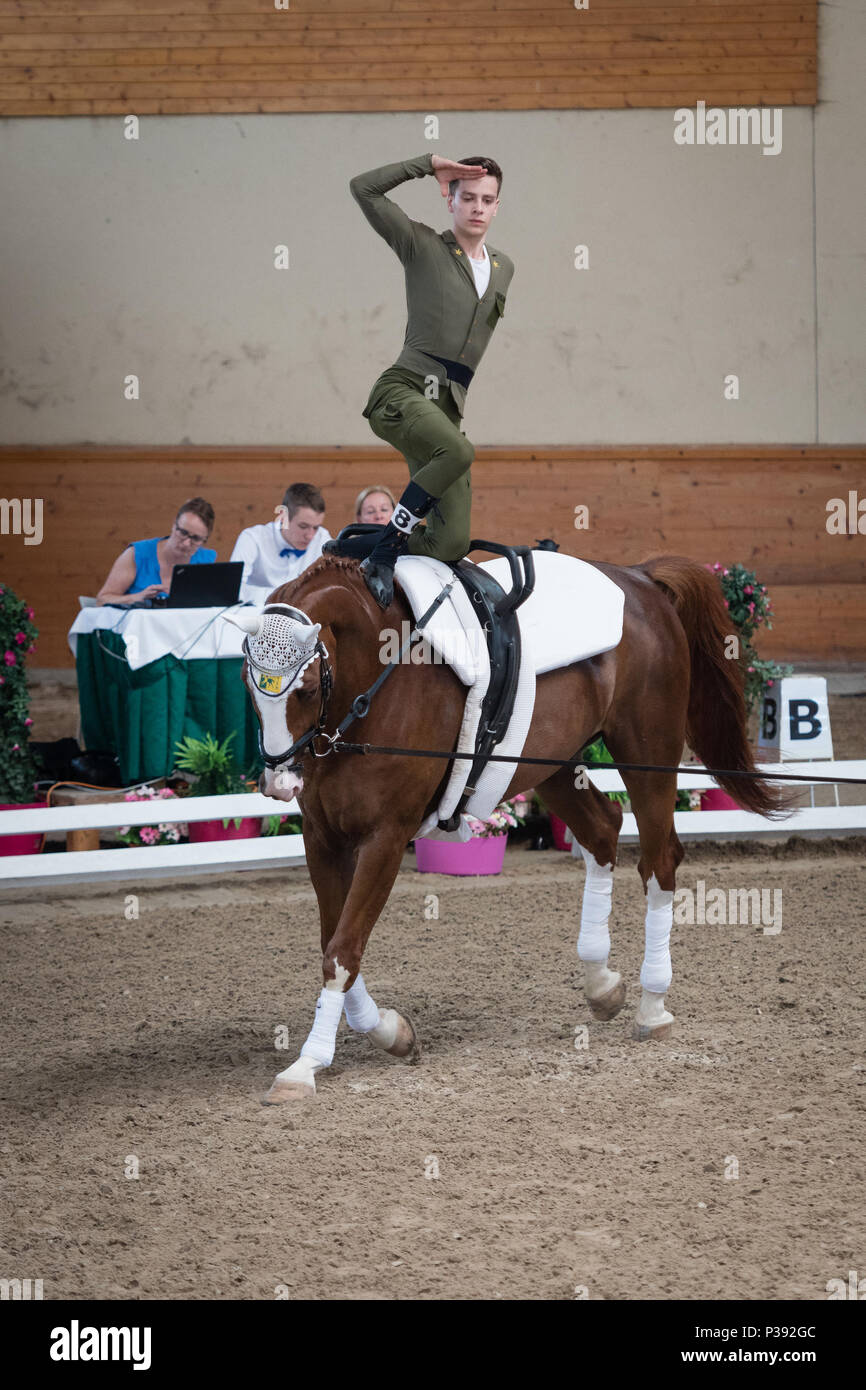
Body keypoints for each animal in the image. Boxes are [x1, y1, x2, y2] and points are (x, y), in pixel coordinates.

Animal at [234, 547, 783, 1100]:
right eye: (246, 685)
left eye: (305, 689)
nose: (279, 783)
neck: (369, 683)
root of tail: (640, 577)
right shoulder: (322, 839)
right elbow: (333, 942)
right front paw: (390, 1032)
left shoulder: (385, 838)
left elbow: (343, 949)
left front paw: (306, 1065)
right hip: (552, 761)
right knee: (603, 829)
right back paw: (601, 983)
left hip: (648, 752)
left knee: (659, 861)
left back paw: (652, 1004)